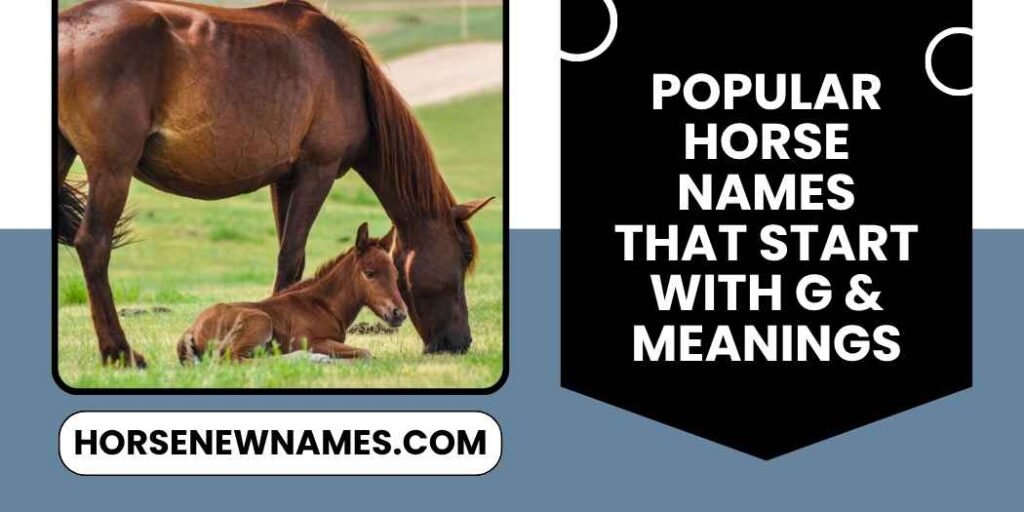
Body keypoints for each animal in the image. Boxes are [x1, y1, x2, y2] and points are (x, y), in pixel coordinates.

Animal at [177, 222, 406, 363]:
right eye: (370, 273)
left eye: (395, 274)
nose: (399, 313)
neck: (323, 305)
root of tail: (192, 328)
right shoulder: (308, 340)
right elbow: (365, 354)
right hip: (260, 321)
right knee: (234, 360)